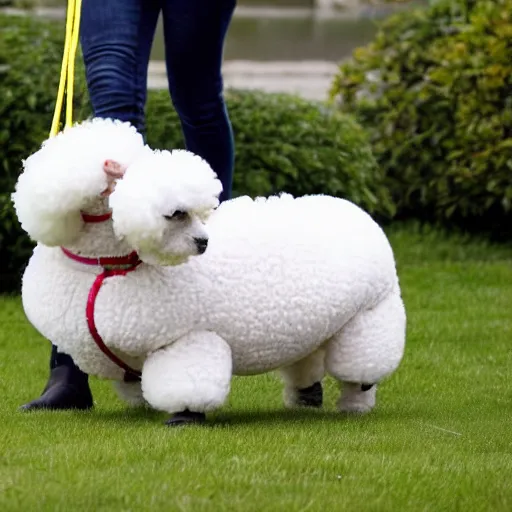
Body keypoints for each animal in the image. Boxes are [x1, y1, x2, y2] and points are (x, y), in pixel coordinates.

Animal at [12, 118, 406, 426]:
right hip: (317, 326)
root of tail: (358, 211)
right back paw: (304, 399)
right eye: (178, 214)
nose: (203, 243)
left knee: (361, 371)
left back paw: (354, 406)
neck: (110, 266)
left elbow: (186, 382)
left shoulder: (186, 338)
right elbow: (131, 381)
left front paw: (184, 415)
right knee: (306, 362)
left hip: (368, 317)